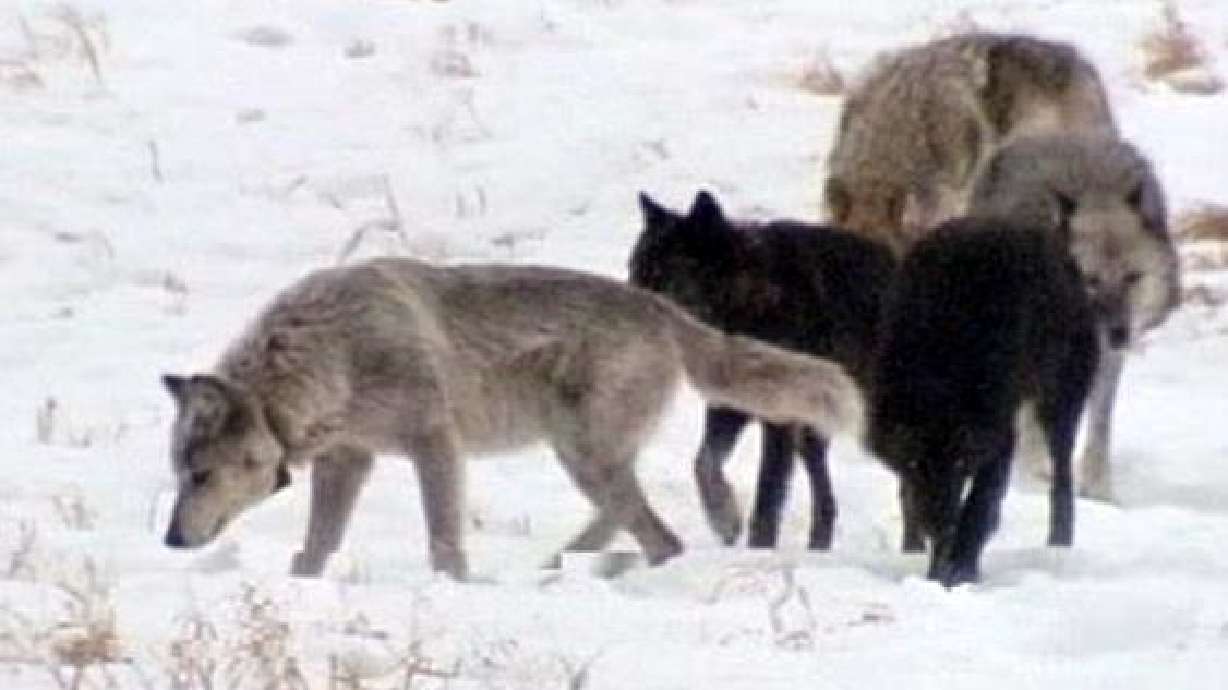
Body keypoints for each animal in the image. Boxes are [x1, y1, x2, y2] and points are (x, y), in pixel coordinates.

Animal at [160, 258, 865, 580]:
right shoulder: (348, 460)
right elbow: (316, 546)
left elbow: (444, 543)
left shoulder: (434, 445)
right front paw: (303, 588)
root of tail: (662, 309)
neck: (332, 356)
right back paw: (571, 565)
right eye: (179, 474)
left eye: (199, 476)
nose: (168, 541)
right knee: (640, 526)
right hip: (580, 457)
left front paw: (454, 589)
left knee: (653, 529)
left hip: (584, 454)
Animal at [629, 190, 900, 551]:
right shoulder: (728, 407)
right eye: (635, 268)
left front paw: (758, 547)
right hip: (814, 430)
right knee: (826, 497)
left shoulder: (778, 422)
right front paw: (725, 520)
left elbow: (767, 496)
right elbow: (705, 464)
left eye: (663, 274)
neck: (745, 305)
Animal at [868, 218, 1099, 587]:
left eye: (961, 462)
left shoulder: (998, 434)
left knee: (1062, 476)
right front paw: (936, 573)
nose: (938, 522)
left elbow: (979, 505)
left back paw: (1059, 547)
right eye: (914, 463)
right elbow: (910, 497)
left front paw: (961, 569)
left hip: (1058, 403)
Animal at [968, 133, 1181, 500]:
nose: (1117, 333)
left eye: (1132, 278)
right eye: (1089, 280)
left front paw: (1097, 491)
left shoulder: (1106, 360)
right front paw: (1033, 478)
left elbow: (1099, 425)